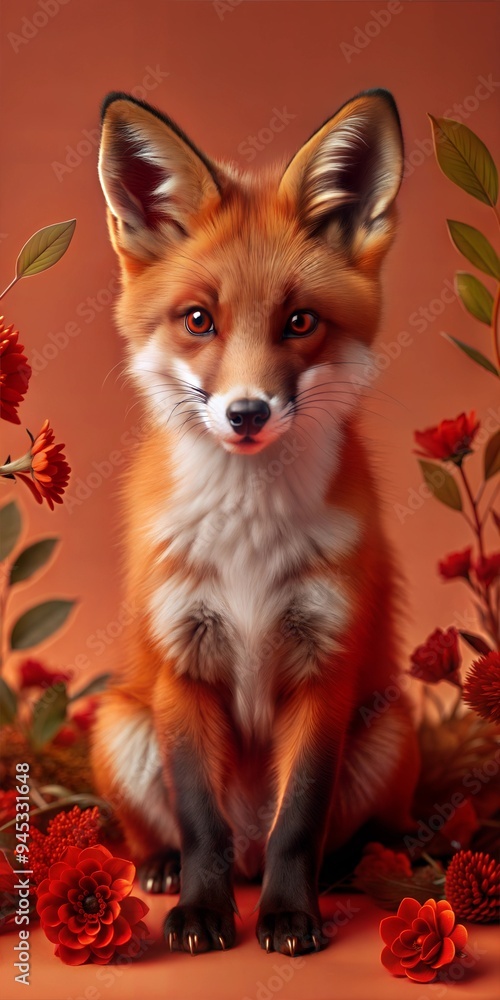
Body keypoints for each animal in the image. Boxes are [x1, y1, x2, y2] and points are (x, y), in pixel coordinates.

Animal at [91, 88, 419, 957]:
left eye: (300, 322)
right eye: (199, 319)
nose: (246, 414)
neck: (246, 535)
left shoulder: (324, 668)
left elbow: (297, 823)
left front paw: (288, 917)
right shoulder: (183, 664)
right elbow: (198, 818)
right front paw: (203, 914)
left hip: (388, 725)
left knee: (329, 836)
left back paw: (358, 867)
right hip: (119, 722)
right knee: (174, 833)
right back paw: (163, 870)